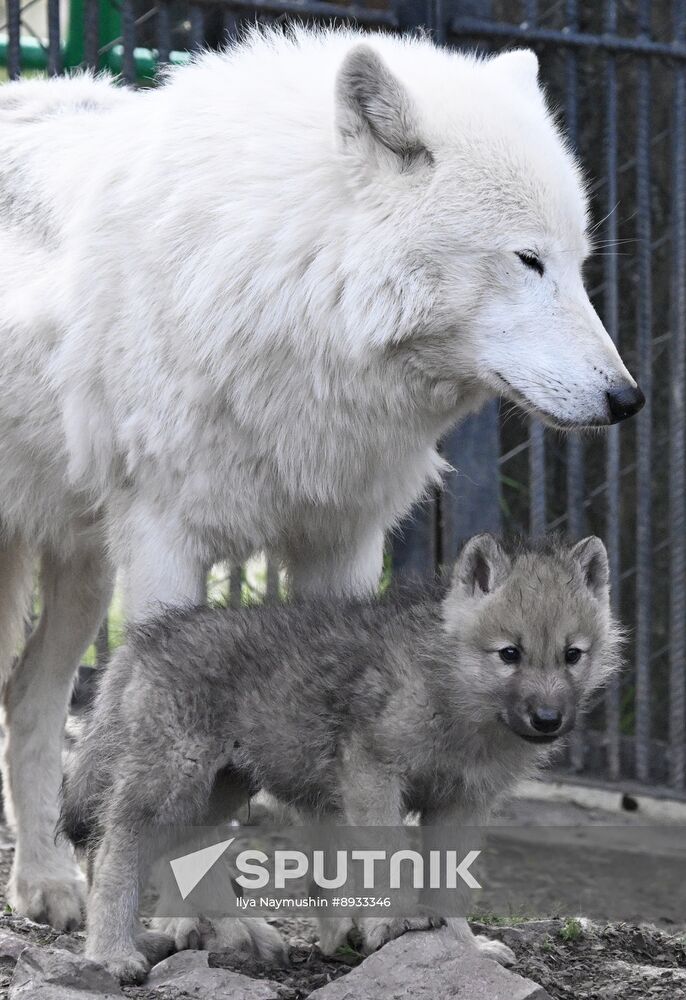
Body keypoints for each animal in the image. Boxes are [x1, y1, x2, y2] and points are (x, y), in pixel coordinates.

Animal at [0, 27, 642, 937]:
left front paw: (350, 926)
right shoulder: (165, 542)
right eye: (528, 260)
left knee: (30, 697)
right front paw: (203, 924)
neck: (285, 282)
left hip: (84, 565)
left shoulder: (341, 543)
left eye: (580, 264)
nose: (628, 399)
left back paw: (48, 882)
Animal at [61, 533, 622, 982]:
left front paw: (464, 950)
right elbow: (387, 860)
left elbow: (450, 890)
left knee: (183, 857)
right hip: (172, 785)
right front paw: (392, 924)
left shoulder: (460, 805)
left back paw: (239, 939)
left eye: (572, 655)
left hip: (217, 792)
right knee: (111, 853)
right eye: (510, 654)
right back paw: (112, 955)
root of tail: (144, 640)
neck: (449, 693)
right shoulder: (373, 777)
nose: (548, 719)